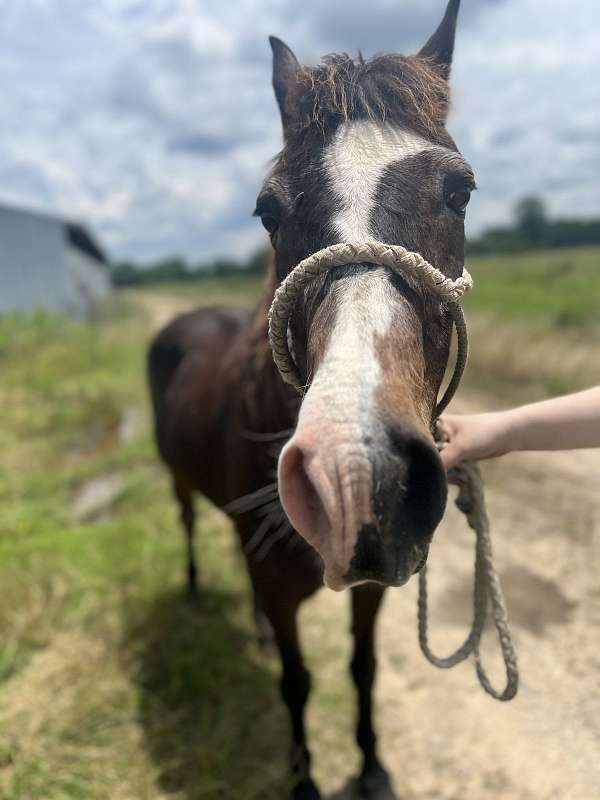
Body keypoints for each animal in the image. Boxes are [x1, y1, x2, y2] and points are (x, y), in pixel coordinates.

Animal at [148, 1, 475, 797]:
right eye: (267, 211)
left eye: (460, 192)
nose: (359, 476)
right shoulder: (275, 580)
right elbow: (297, 684)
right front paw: (301, 780)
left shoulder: (370, 587)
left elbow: (362, 669)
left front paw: (374, 766)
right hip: (179, 486)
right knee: (191, 529)